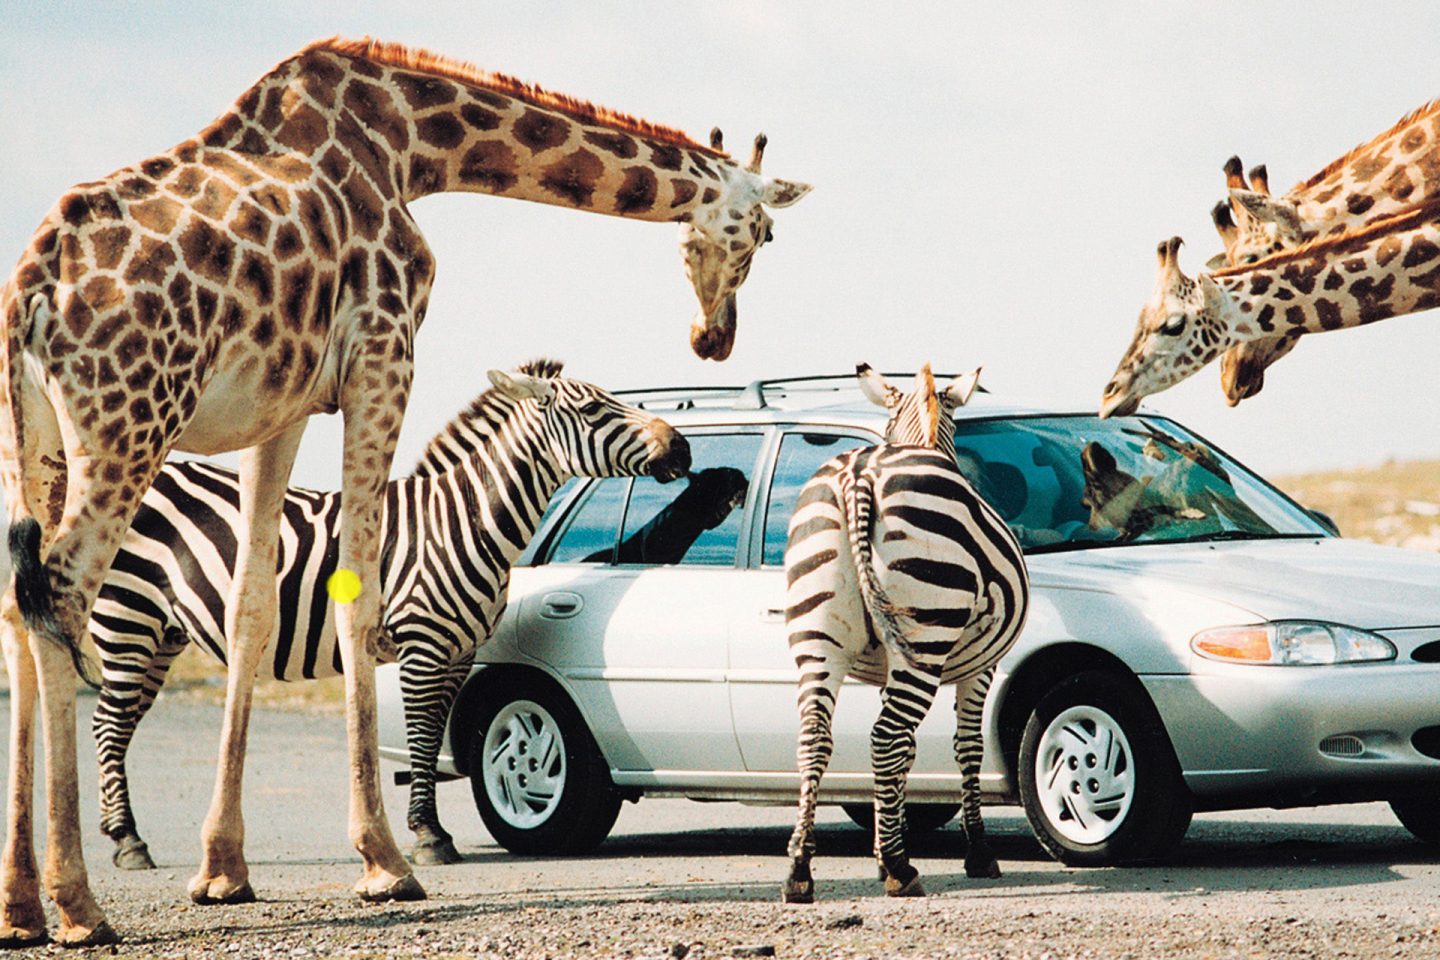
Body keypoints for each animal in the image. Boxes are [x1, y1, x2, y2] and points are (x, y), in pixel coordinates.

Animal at [0, 36, 810, 946]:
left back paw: (22, 906)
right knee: (63, 597)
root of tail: (30, 293)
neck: (413, 146)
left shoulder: (282, 403)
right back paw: (78, 902)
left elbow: (250, 611)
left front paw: (222, 870)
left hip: (34, 438)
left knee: (18, 604)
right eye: (763, 230)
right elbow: (358, 595)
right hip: (129, 420)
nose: (715, 340)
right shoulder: (383, 352)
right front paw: (386, 863)